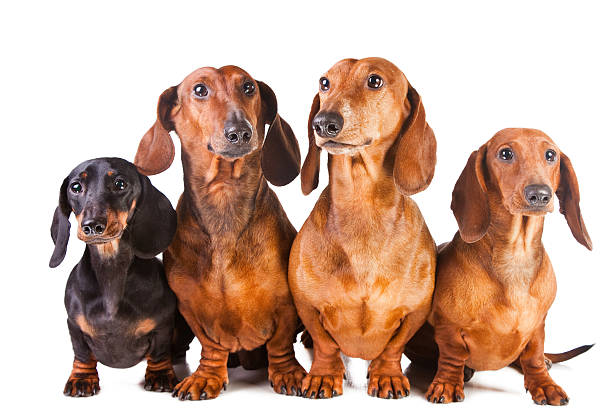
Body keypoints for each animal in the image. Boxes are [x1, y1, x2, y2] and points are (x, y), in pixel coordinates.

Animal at [49, 158, 178, 396]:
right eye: (75, 187)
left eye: (120, 184)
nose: (92, 225)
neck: (111, 269)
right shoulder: (74, 326)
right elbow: (81, 353)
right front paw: (82, 378)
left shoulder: (164, 324)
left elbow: (159, 352)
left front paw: (161, 375)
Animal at [134, 65, 306, 400]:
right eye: (200, 90)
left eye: (249, 87)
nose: (240, 131)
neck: (225, 198)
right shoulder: (192, 309)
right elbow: (211, 346)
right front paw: (205, 377)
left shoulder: (286, 306)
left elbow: (280, 343)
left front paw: (288, 372)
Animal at [290, 58, 438, 398]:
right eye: (325, 82)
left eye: (374, 81)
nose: (323, 123)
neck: (363, 211)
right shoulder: (304, 302)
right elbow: (325, 343)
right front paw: (323, 375)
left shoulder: (417, 310)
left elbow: (394, 347)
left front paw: (387, 374)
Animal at [414, 128, 592, 404]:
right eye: (506, 153)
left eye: (551, 155)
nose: (540, 194)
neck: (515, 257)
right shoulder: (449, 327)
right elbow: (452, 355)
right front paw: (447, 383)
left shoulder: (537, 327)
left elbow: (533, 356)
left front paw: (544, 384)